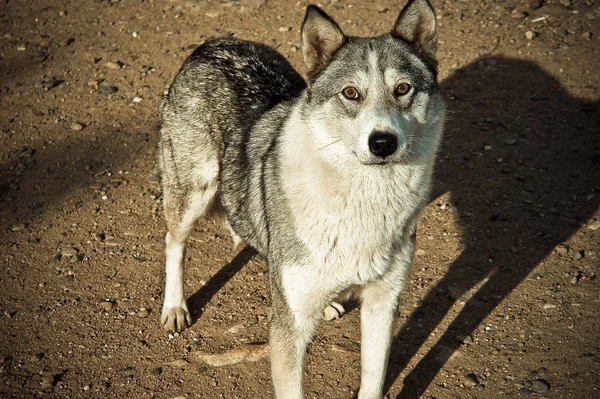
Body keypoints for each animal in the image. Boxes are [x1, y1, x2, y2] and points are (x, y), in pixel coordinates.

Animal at [157, 1, 442, 398]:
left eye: (403, 89)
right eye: (350, 93)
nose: (383, 142)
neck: (362, 202)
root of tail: (215, 44)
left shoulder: (382, 303)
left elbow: (373, 380)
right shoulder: (287, 328)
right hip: (194, 192)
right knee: (174, 242)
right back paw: (174, 308)